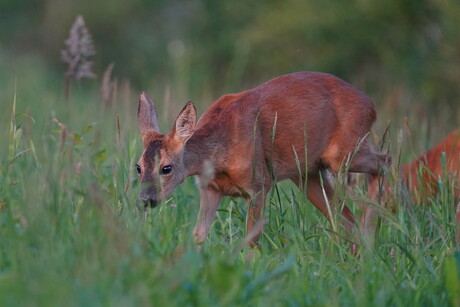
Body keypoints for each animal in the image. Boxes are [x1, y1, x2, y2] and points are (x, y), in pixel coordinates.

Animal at [136, 72, 388, 248]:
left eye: (166, 168)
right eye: (138, 167)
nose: (146, 200)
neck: (219, 153)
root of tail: (372, 105)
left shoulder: (258, 184)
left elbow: (251, 240)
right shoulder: (210, 189)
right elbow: (198, 235)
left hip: (344, 153)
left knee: (385, 160)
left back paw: (371, 231)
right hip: (307, 174)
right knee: (344, 217)